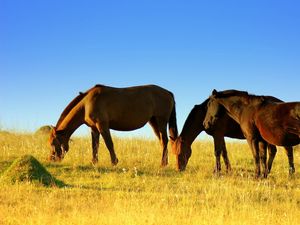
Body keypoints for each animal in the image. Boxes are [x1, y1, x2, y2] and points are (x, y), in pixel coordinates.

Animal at [48, 83, 177, 166]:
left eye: (53, 143)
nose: (51, 159)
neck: (87, 104)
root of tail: (168, 92)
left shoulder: (102, 125)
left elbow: (109, 144)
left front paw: (114, 162)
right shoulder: (94, 129)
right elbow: (95, 146)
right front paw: (94, 162)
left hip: (161, 121)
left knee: (165, 140)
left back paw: (163, 163)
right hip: (153, 122)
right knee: (162, 141)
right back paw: (165, 162)